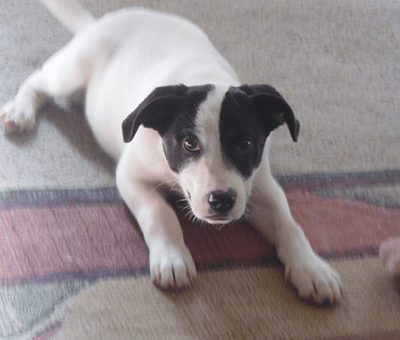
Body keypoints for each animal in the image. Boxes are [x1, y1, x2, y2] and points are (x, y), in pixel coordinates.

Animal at [1, 0, 342, 302]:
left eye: (246, 144)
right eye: (189, 143)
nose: (221, 200)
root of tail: (100, 22)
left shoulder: (258, 187)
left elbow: (289, 225)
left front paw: (312, 268)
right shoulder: (131, 177)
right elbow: (158, 213)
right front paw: (173, 258)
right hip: (72, 70)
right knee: (40, 79)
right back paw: (20, 110)